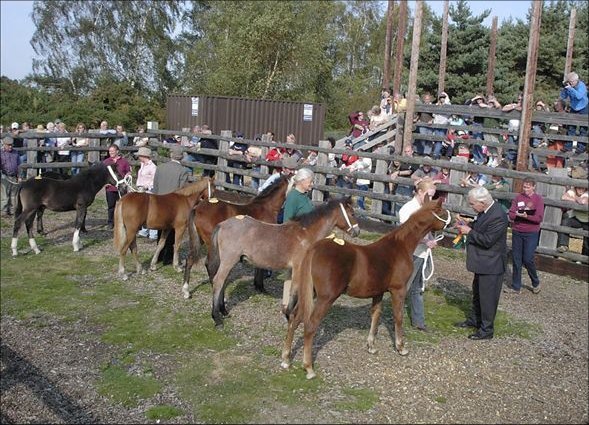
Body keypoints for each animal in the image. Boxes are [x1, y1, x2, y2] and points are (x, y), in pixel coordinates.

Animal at [204, 197, 360, 326]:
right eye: (352, 213)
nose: (357, 231)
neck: (305, 235)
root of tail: (222, 224)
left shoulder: (292, 269)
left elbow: (290, 288)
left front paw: (287, 312)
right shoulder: (298, 268)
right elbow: (295, 290)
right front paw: (289, 315)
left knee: (223, 282)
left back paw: (223, 311)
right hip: (229, 260)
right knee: (218, 281)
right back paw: (217, 318)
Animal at [280, 197, 450, 380]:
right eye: (442, 212)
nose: (453, 222)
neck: (400, 246)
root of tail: (314, 249)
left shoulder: (378, 292)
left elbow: (375, 315)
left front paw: (371, 346)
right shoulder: (398, 290)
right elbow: (398, 317)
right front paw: (401, 347)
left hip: (310, 293)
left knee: (295, 318)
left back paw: (286, 359)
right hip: (326, 298)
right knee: (310, 325)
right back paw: (309, 367)